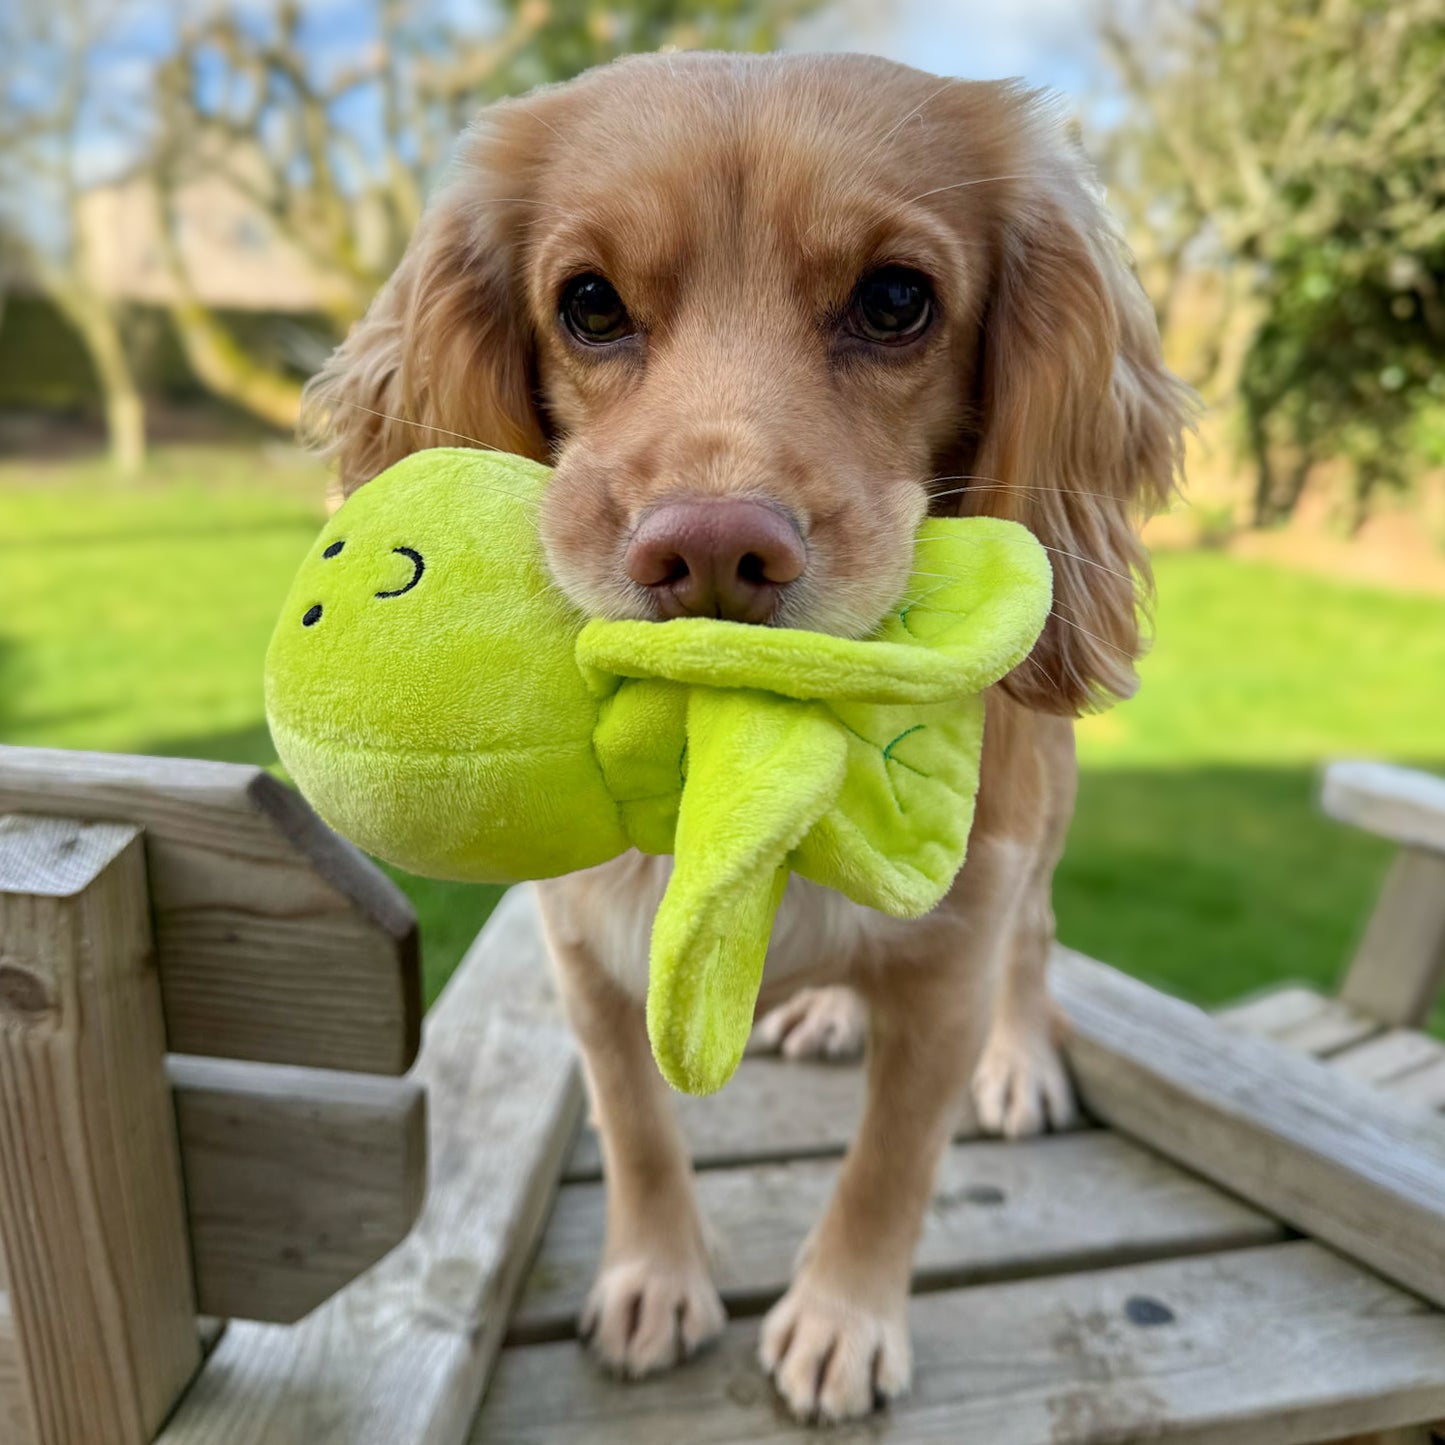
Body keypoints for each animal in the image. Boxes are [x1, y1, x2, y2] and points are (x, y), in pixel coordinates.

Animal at [302, 50, 1184, 1416]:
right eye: (589, 304)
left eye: (894, 300)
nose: (712, 549)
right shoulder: (585, 960)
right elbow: (636, 1132)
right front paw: (654, 1274)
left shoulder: (948, 971)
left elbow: (887, 1165)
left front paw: (841, 1316)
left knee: (1036, 946)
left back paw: (1019, 1061)